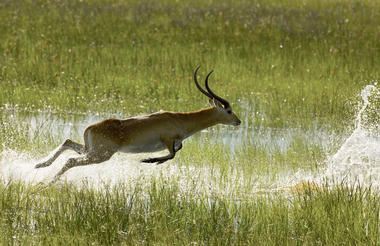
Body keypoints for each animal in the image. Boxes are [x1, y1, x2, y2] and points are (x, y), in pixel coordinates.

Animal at [35, 66, 240, 182]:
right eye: (229, 111)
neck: (180, 119)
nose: (238, 121)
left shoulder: (176, 142)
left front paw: (153, 161)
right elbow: (172, 154)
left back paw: (40, 166)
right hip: (100, 155)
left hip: (90, 150)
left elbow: (176, 152)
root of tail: (90, 127)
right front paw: (149, 160)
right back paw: (49, 181)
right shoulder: (167, 140)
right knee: (70, 160)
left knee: (67, 142)